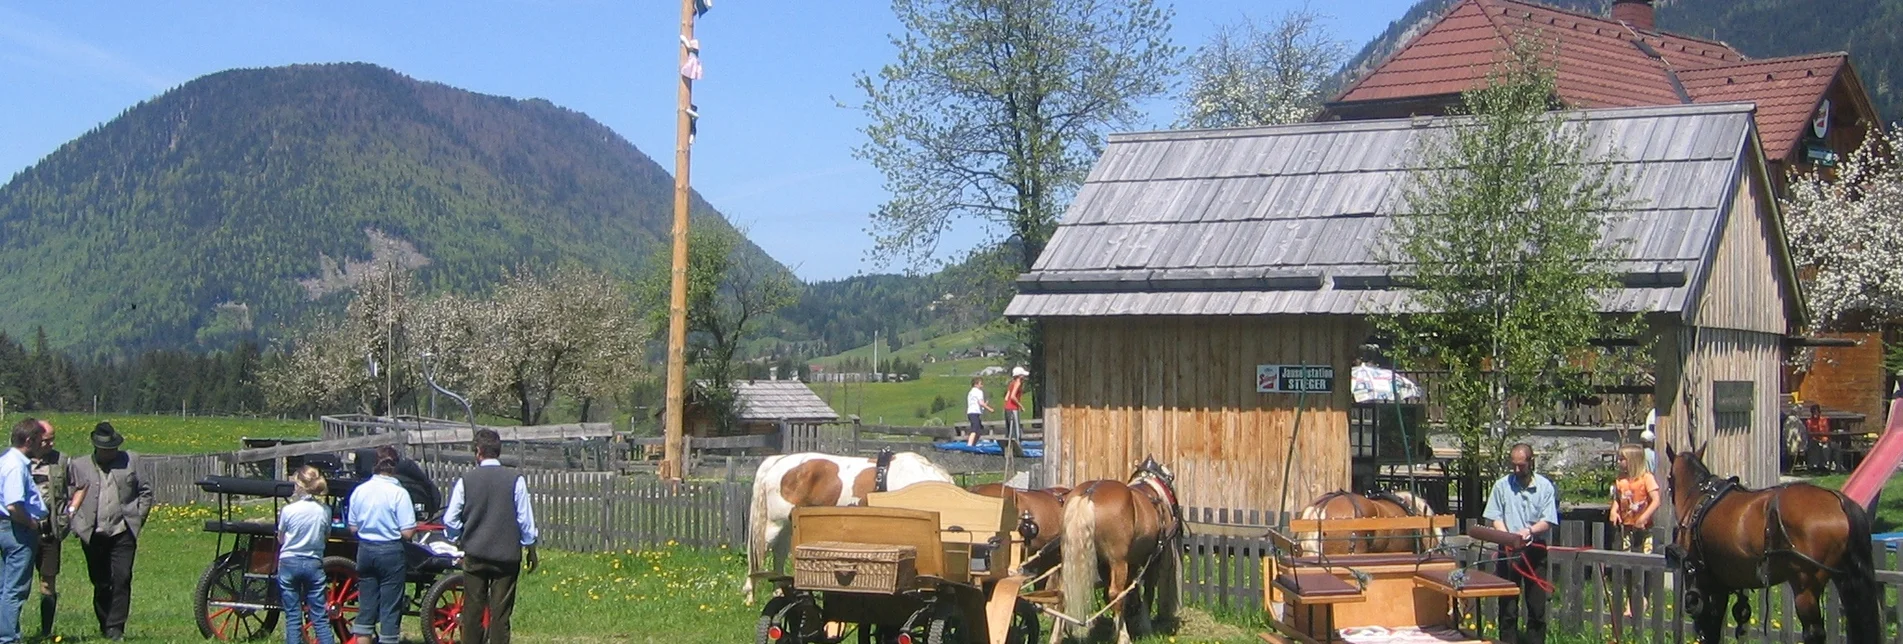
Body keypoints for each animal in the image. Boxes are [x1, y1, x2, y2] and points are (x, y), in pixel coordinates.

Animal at [1065, 457, 1179, 644]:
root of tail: (1089, 493)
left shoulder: (1127, 563)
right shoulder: (1152, 559)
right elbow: (1148, 592)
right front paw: (1145, 626)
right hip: (1118, 562)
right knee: (1116, 594)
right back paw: (1124, 636)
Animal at [1667, 445, 1872, 640]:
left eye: (1669, 478)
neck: (1697, 500)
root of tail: (1839, 501)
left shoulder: (1703, 580)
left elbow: (1709, 628)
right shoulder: (1720, 583)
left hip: (1805, 586)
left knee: (1814, 632)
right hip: (1844, 580)